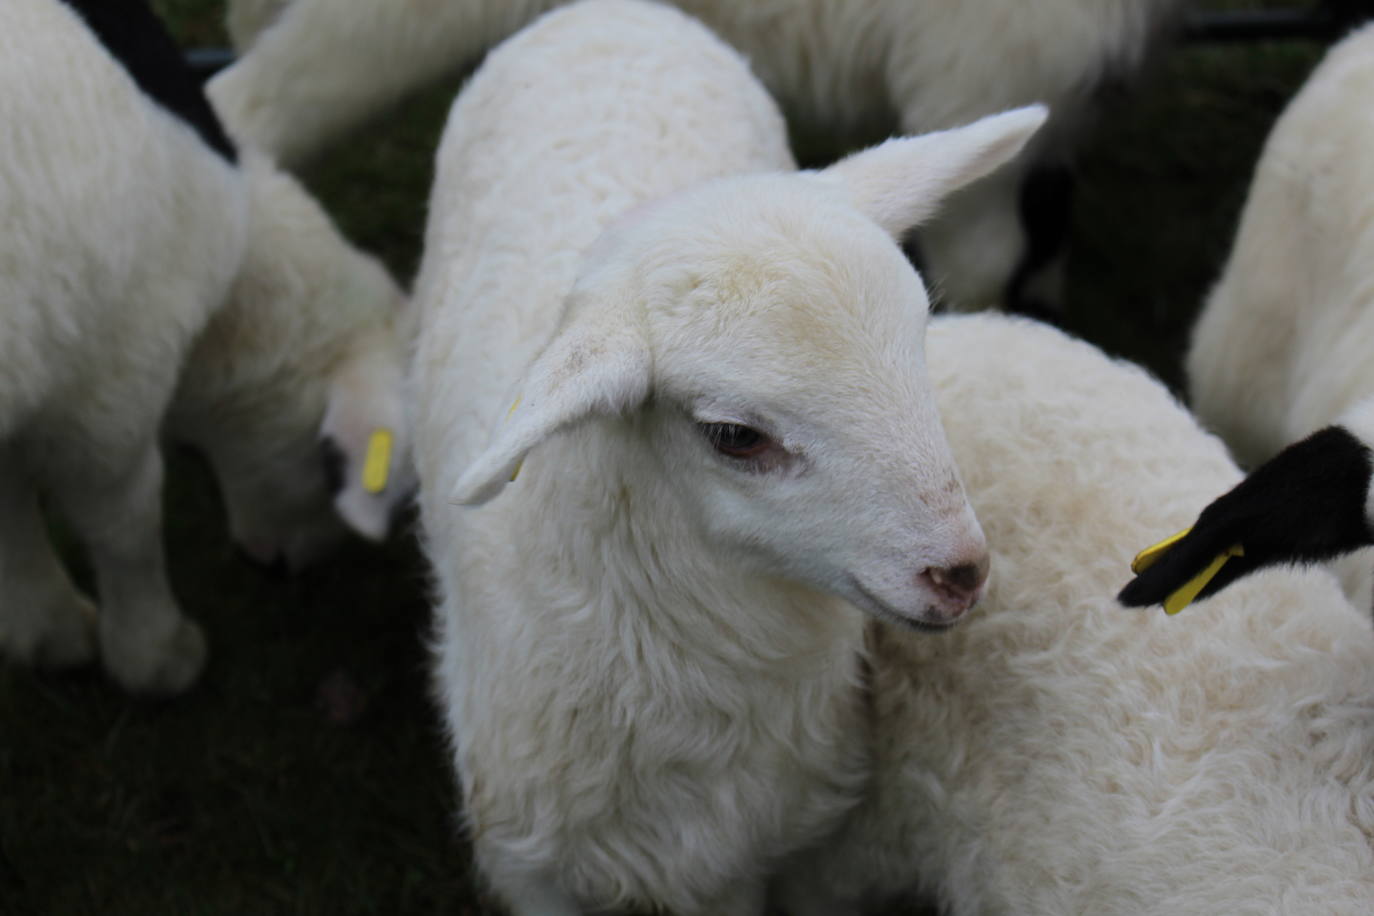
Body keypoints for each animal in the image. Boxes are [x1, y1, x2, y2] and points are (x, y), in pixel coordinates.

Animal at [0, 0, 412, 694]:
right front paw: (155, 659)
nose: (272, 569)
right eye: (324, 462)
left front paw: (41, 630)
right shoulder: (109, 392)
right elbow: (126, 525)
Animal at [412, 3, 1044, 911]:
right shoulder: (538, 873)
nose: (959, 572)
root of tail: (610, 12)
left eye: (921, 341)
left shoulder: (761, 855)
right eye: (736, 436)